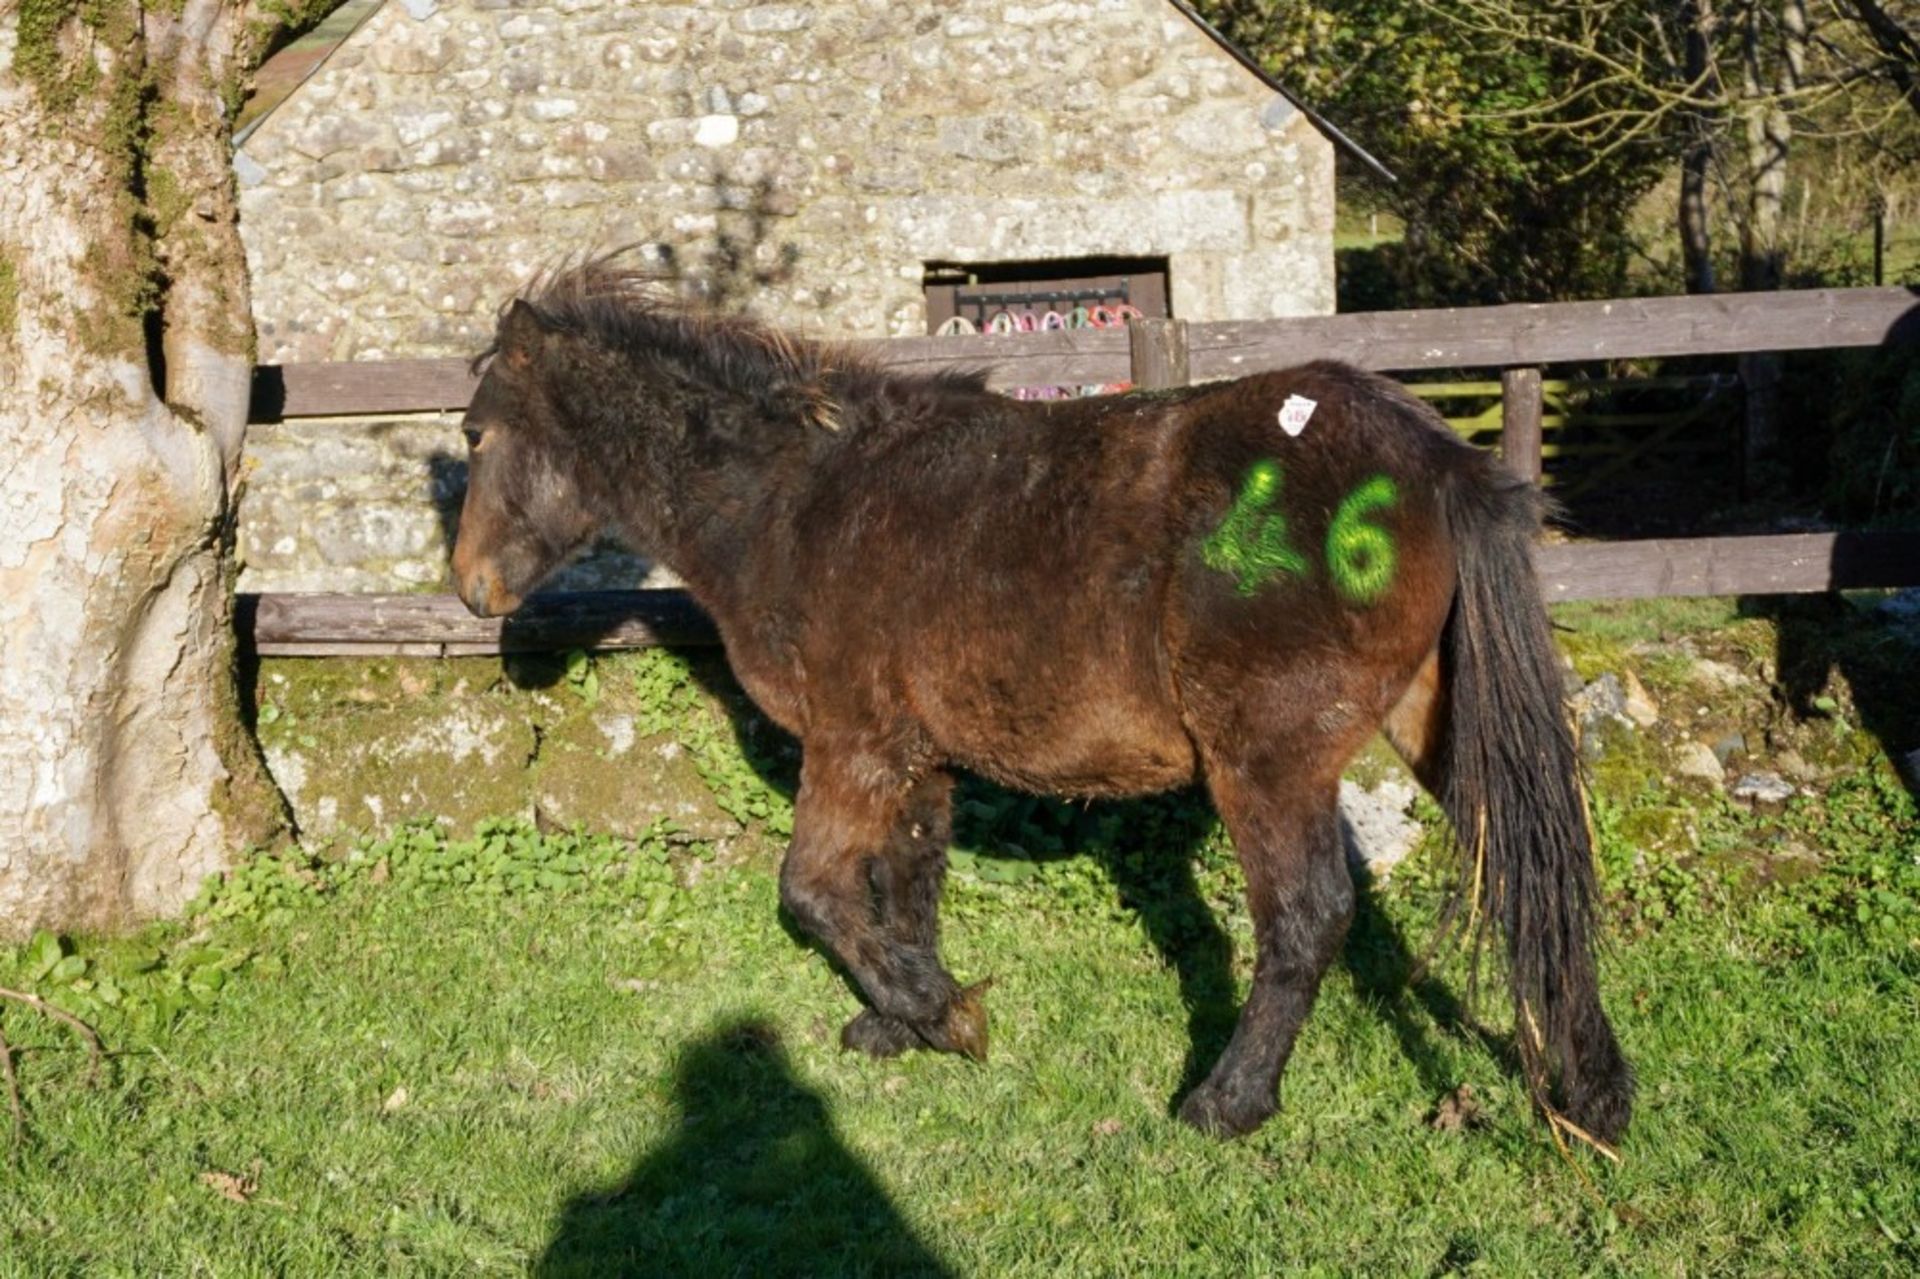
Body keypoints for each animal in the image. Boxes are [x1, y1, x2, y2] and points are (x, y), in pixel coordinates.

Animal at [453, 257, 1635, 1136]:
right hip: (1432, 721)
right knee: (1528, 859)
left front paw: (947, 1019)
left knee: (1308, 916)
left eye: (474, 433)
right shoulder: (917, 758)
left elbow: (816, 893)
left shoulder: (851, 744)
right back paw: (1591, 1092)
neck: (796, 503)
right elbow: (908, 885)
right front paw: (898, 1024)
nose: (471, 590)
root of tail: (1435, 458)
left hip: (1269, 759)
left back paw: (1227, 1102)